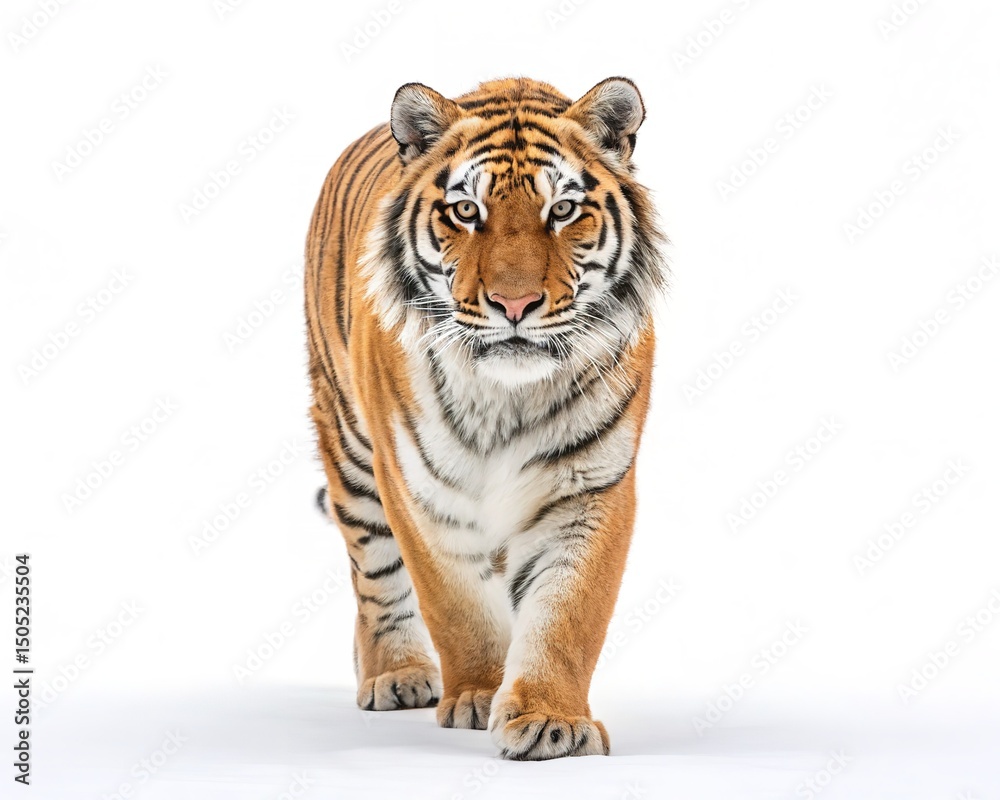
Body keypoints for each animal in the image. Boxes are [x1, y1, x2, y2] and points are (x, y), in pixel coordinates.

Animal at [304, 76, 666, 760]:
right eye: (466, 212)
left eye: (563, 211)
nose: (514, 303)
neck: (506, 395)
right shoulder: (417, 489)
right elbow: (456, 606)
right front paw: (477, 693)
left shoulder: (590, 487)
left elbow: (567, 612)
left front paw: (550, 719)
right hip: (349, 445)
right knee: (374, 575)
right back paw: (393, 673)